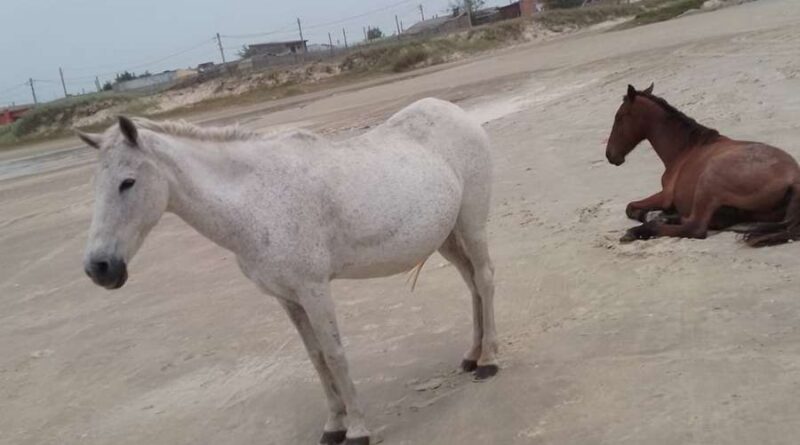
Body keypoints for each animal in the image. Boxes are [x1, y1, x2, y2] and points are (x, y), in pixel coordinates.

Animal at [78, 98, 496, 444]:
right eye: (95, 186)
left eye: (127, 182)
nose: (99, 268)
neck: (255, 201)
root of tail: (452, 111)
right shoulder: (287, 298)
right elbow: (316, 358)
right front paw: (334, 426)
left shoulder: (314, 290)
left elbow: (335, 354)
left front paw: (358, 430)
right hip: (447, 237)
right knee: (471, 284)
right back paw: (472, 356)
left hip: (471, 226)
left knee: (485, 279)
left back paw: (489, 362)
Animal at [608, 83, 800, 246]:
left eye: (619, 117)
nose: (610, 155)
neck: (685, 149)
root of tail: (794, 179)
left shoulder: (665, 195)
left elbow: (631, 207)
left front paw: (648, 215)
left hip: (708, 180)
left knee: (695, 227)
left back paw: (640, 230)